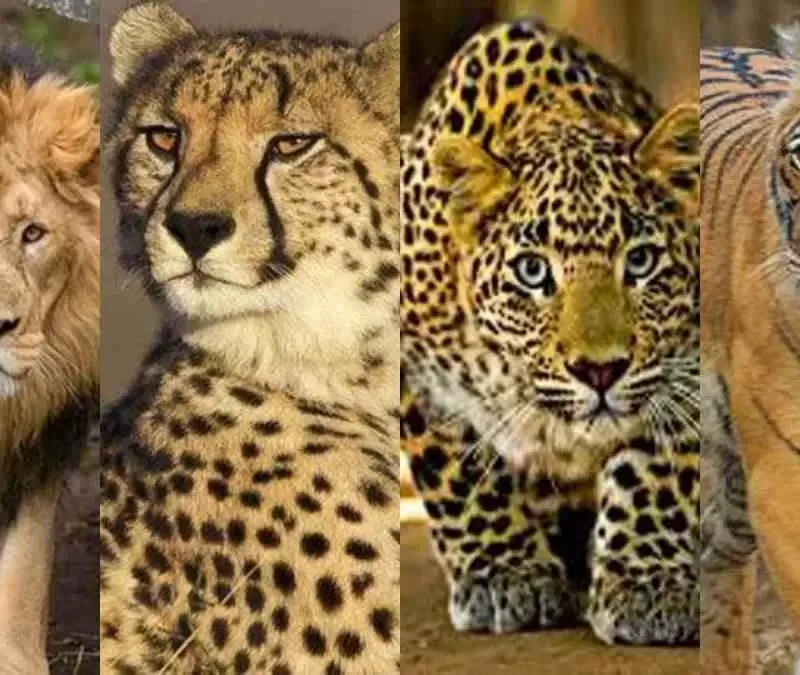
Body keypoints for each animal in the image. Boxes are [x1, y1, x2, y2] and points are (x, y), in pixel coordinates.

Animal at [400, 18, 700, 645]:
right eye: (533, 272)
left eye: (640, 262)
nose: (600, 371)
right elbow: (455, 468)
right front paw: (504, 575)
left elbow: (656, 466)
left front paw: (647, 583)